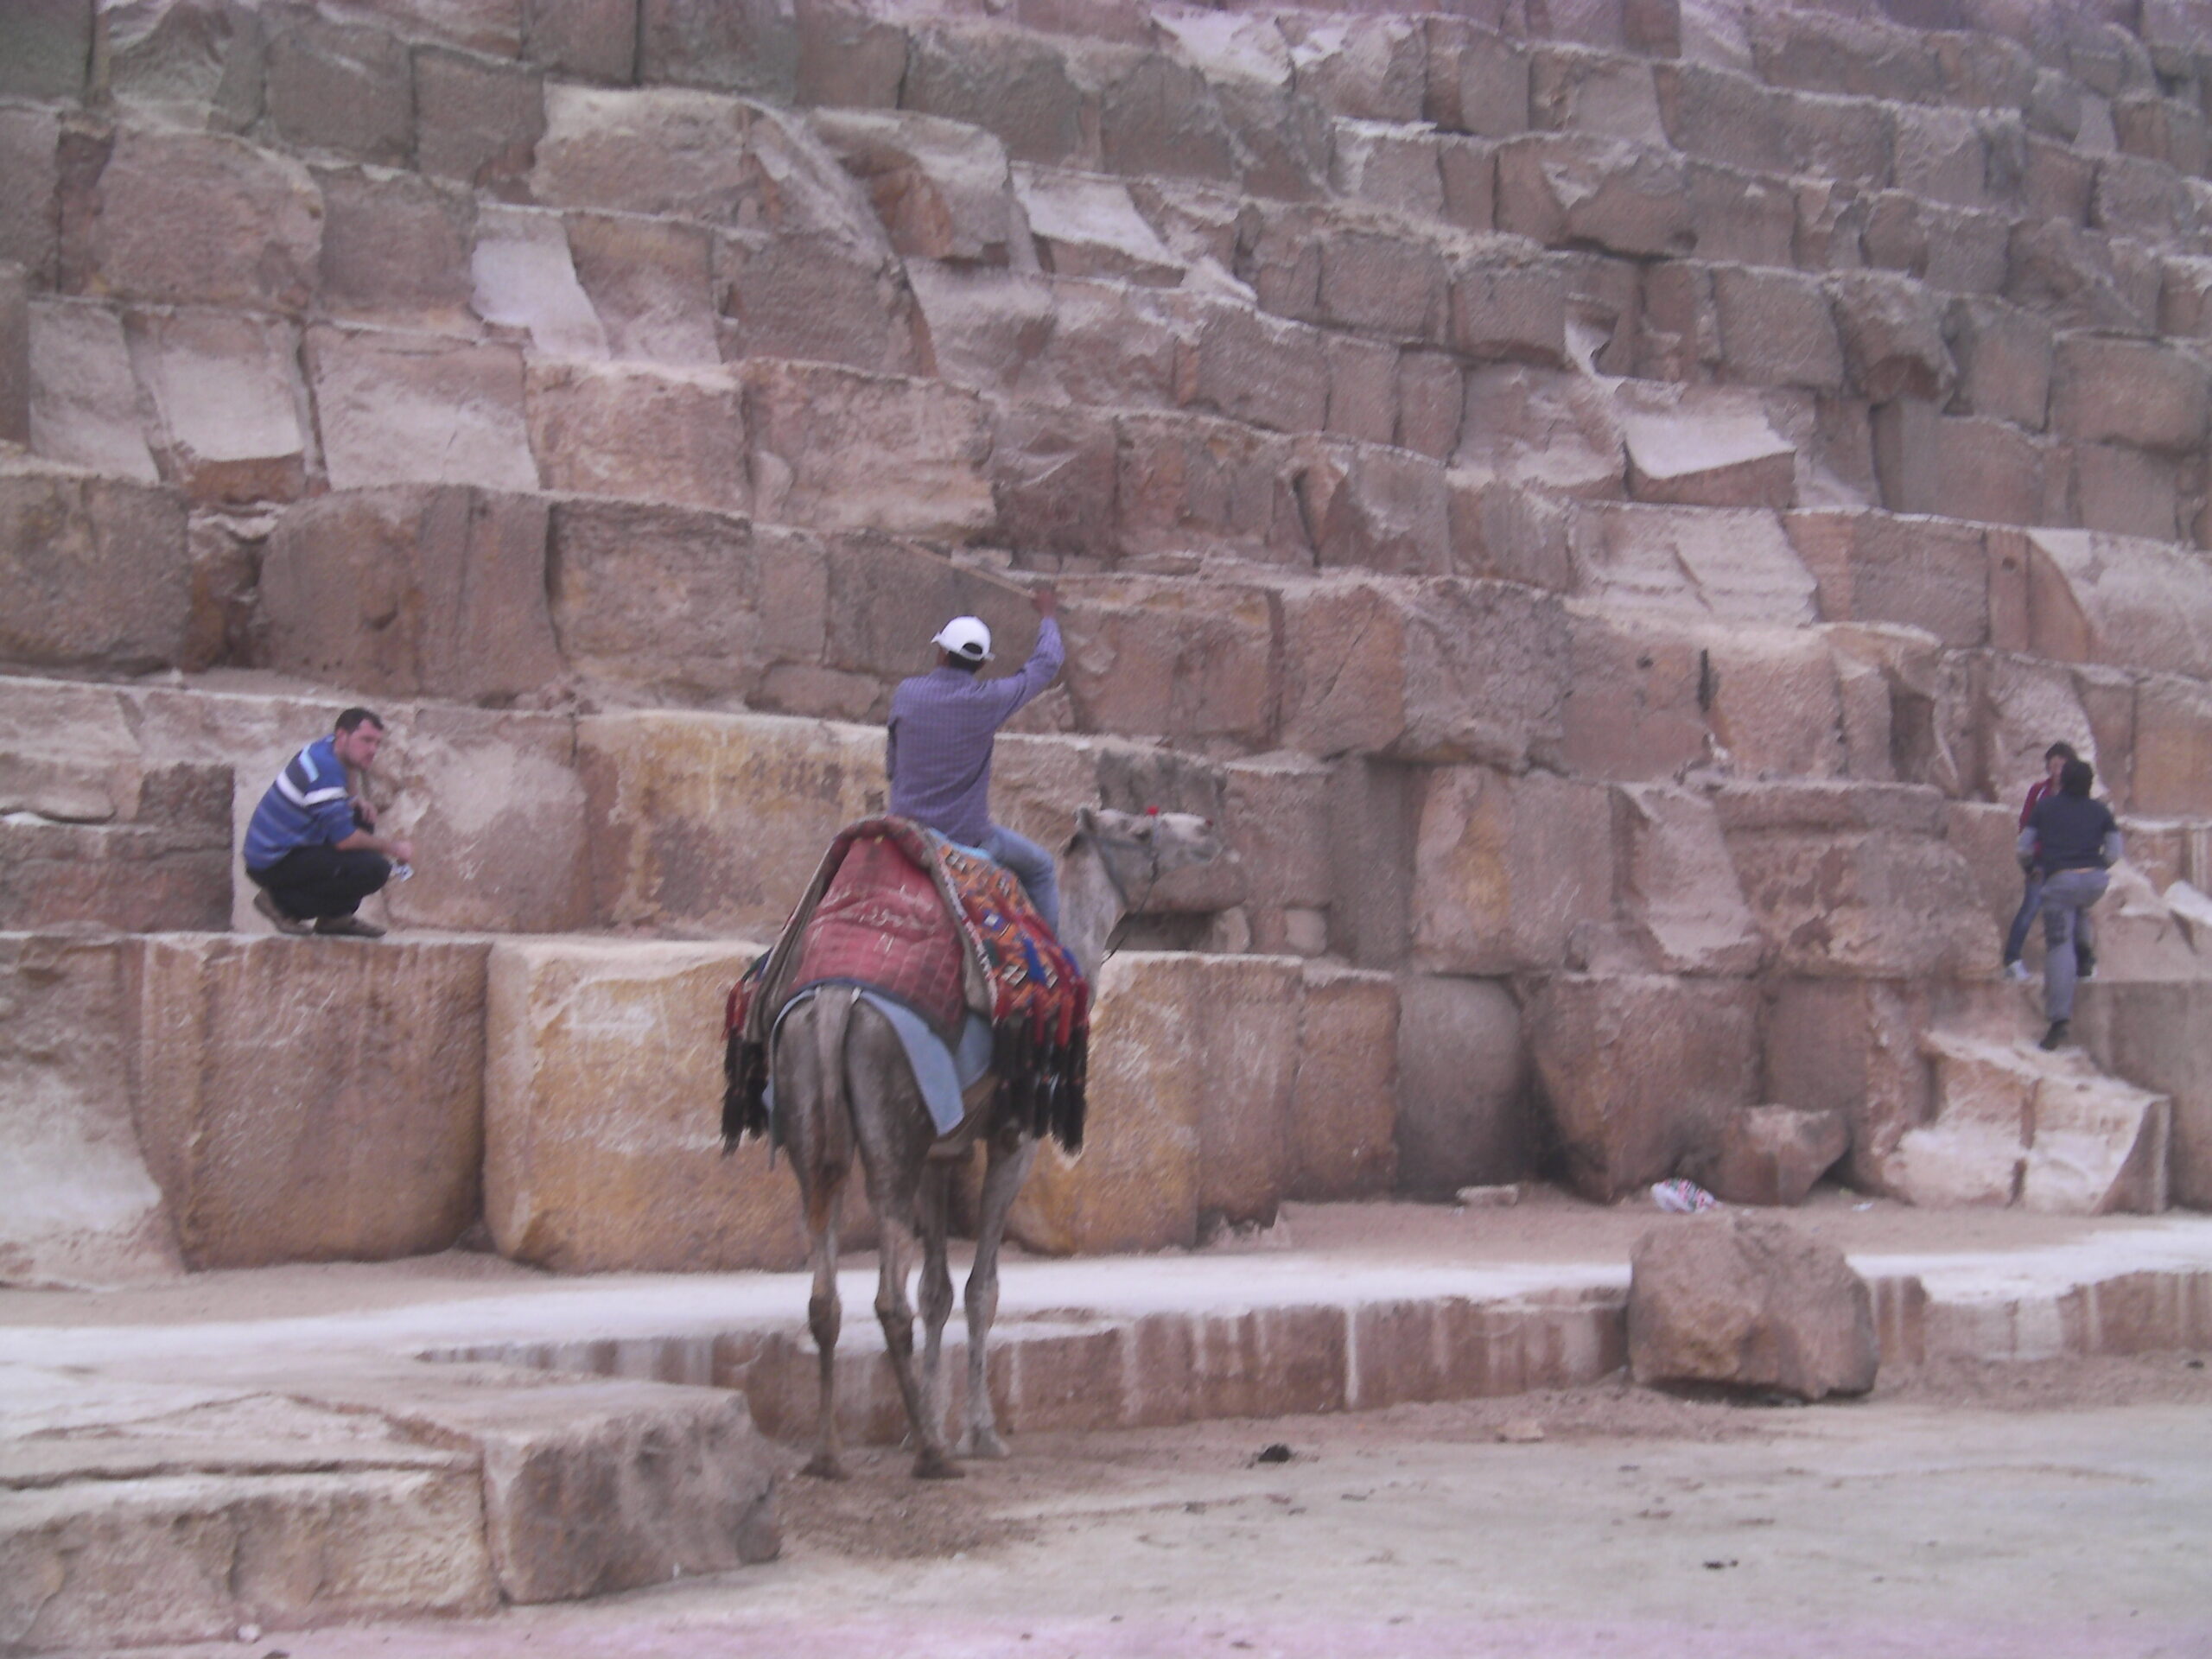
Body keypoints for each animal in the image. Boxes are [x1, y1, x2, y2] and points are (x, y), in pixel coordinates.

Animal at [774, 804, 1230, 1478]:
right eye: (1141, 831)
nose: (1204, 829)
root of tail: (833, 1000)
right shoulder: (1014, 1139)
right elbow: (979, 1289)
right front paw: (977, 1431)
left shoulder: (941, 1152)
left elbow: (938, 1290)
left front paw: (924, 1420)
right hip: (890, 1123)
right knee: (888, 1296)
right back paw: (934, 1456)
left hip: (809, 1111)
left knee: (825, 1294)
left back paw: (830, 1454)